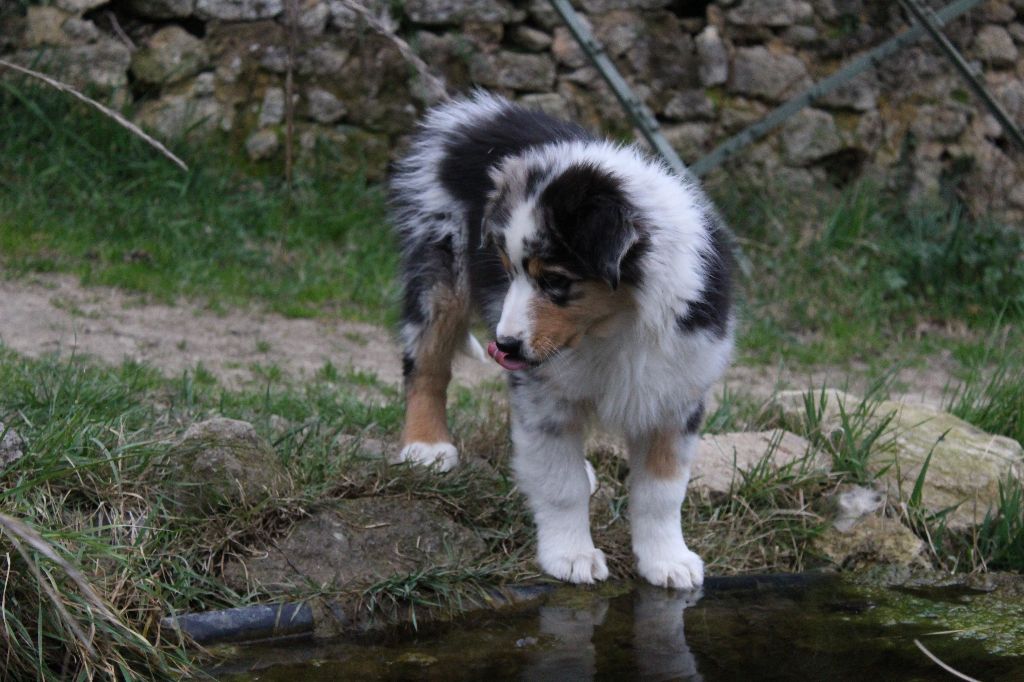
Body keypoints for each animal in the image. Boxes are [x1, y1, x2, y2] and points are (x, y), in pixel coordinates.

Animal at [387, 91, 733, 589]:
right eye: (507, 272)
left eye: (555, 280)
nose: (504, 347)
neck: (616, 325)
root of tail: (485, 114)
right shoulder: (542, 393)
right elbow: (559, 482)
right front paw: (571, 556)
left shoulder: (676, 392)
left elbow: (662, 490)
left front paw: (667, 561)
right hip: (440, 268)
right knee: (426, 363)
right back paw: (427, 445)